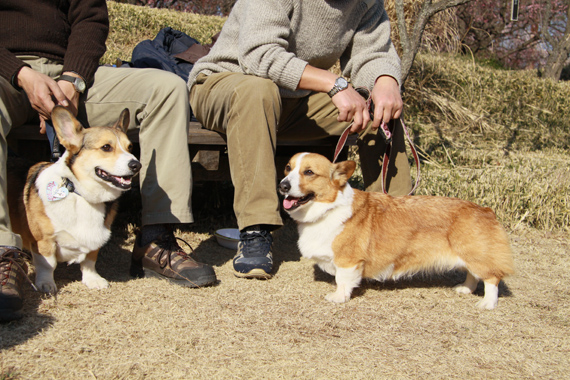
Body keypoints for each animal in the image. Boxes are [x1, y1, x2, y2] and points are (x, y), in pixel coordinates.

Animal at [8, 107, 140, 294]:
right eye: (106, 147)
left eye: (130, 147)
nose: (137, 165)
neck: (81, 195)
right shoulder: (44, 241)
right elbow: (47, 265)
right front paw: (46, 283)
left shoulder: (95, 239)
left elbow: (90, 261)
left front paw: (92, 280)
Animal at [278, 153, 512, 310]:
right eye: (288, 168)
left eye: (309, 172)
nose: (282, 186)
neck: (329, 208)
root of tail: (486, 210)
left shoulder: (348, 260)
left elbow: (343, 280)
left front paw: (338, 297)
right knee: (473, 273)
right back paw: (465, 288)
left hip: (474, 253)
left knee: (491, 278)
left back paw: (487, 303)